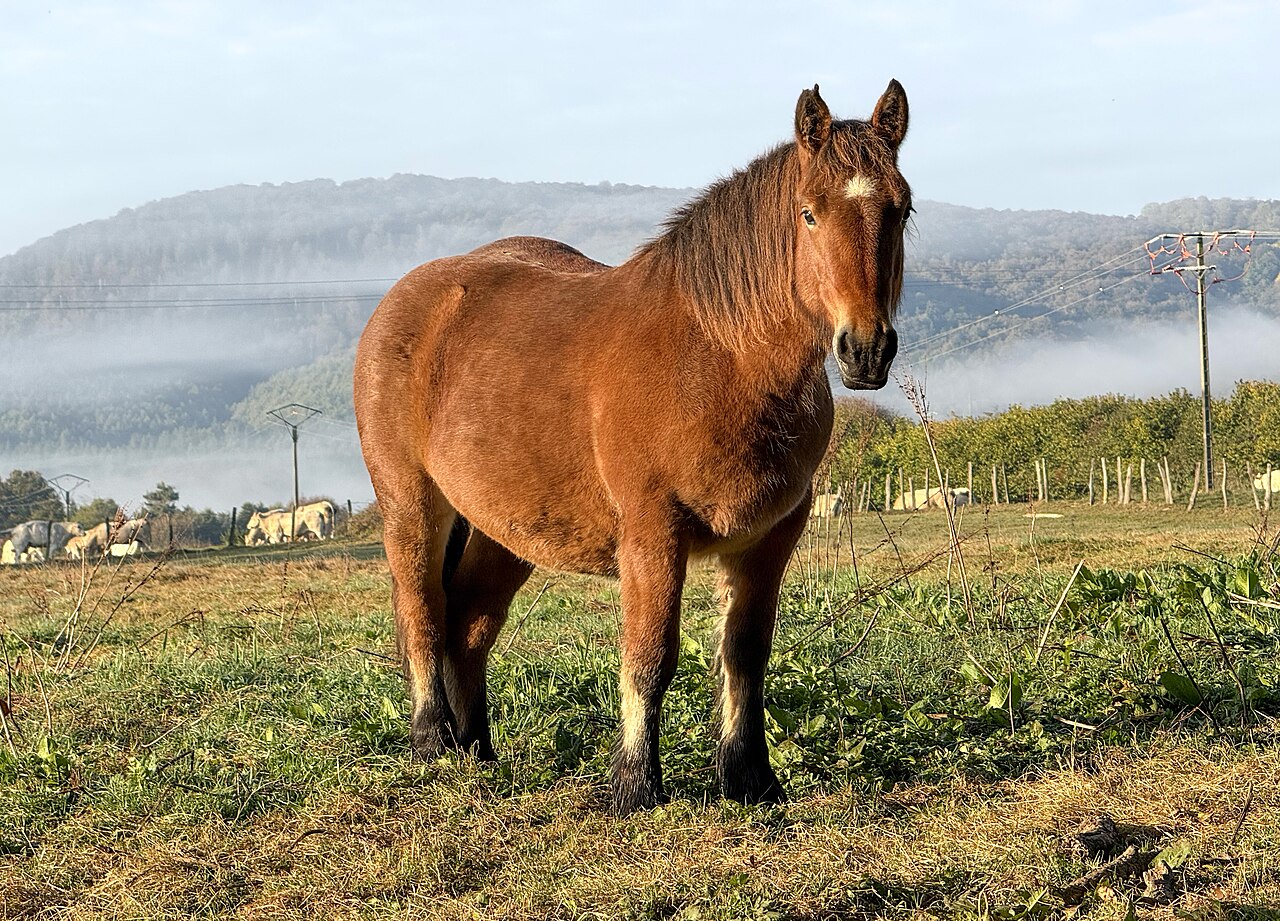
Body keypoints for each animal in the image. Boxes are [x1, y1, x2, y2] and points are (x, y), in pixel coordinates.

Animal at [354, 81, 911, 812]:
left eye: (901, 208)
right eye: (809, 214)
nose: (866, 350)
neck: (720, 355)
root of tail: (407, 299)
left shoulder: (770, 539)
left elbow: (746, 654)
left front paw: (750, 777)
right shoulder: (653, 533)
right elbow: (650, 656)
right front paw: (634, 782)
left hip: (504, 530)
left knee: (468, 622)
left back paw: (478, 753)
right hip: (412, 506)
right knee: (423, 612)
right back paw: (433, 743)